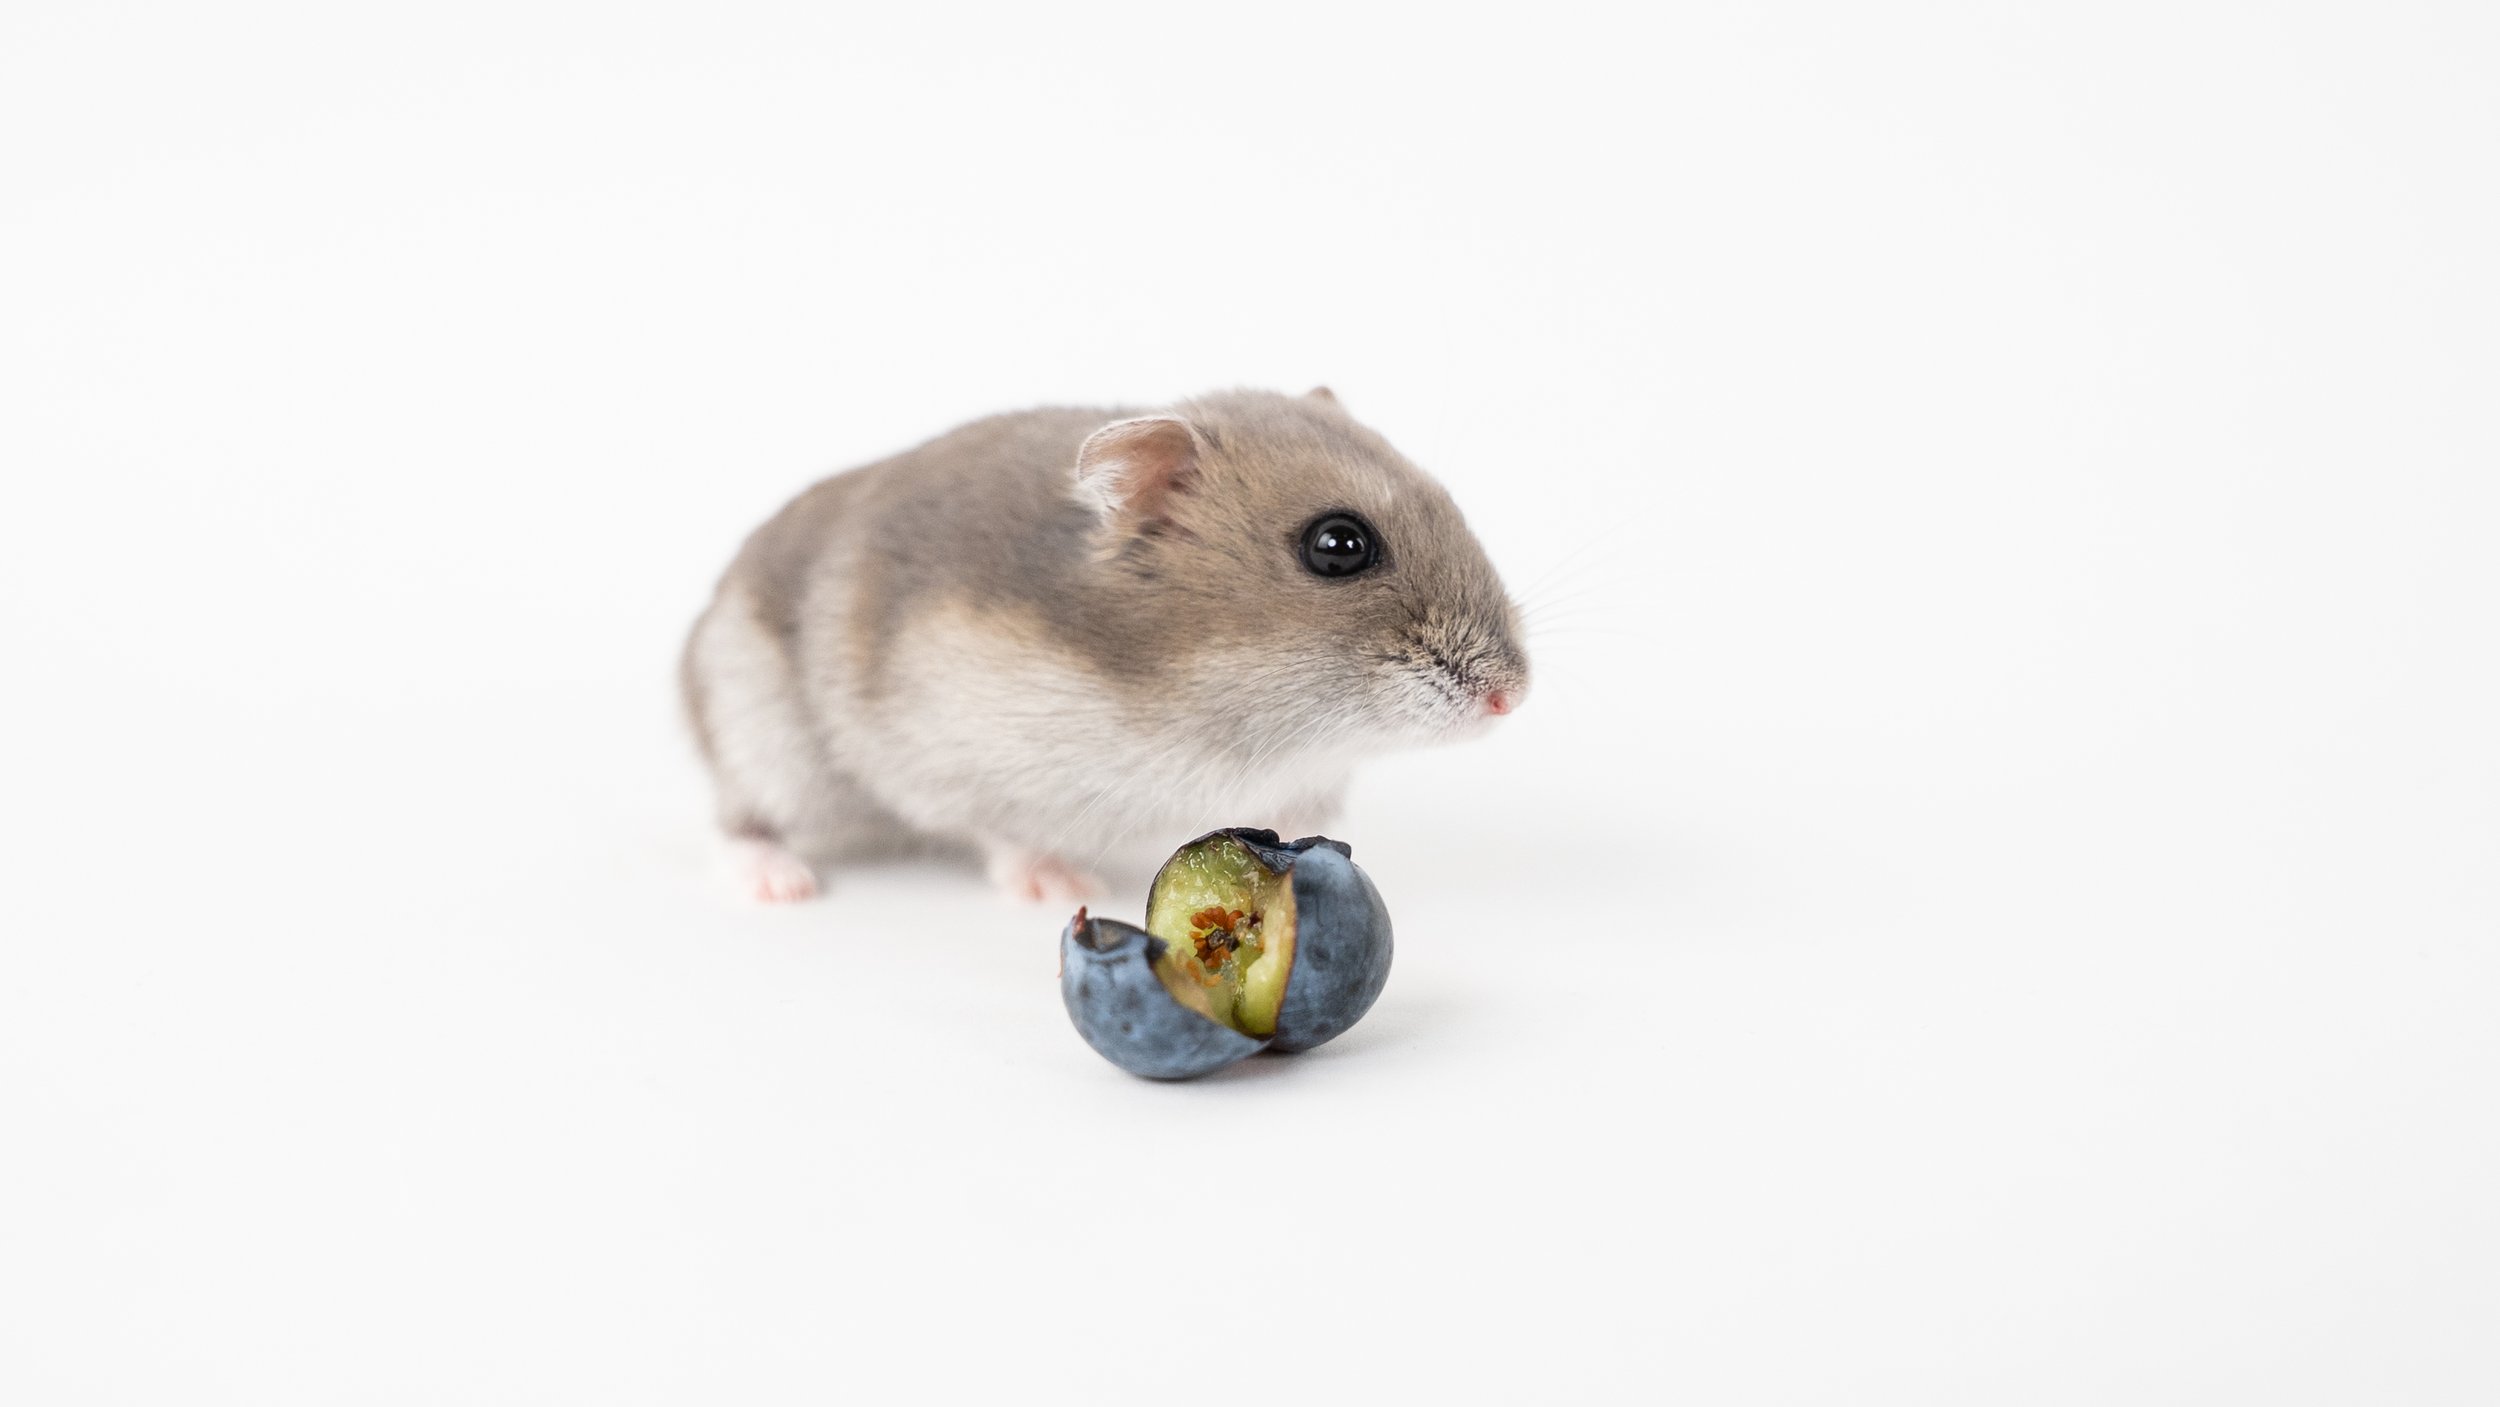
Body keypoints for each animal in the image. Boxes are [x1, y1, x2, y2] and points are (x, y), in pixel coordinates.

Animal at [680, 387, 1529, 903]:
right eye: (1338, 545)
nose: (1512, 697)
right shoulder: (952, 757)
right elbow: (1002, 831)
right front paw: (1064, 888)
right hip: (763, 735)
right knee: (735, 821)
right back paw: (783, 882)